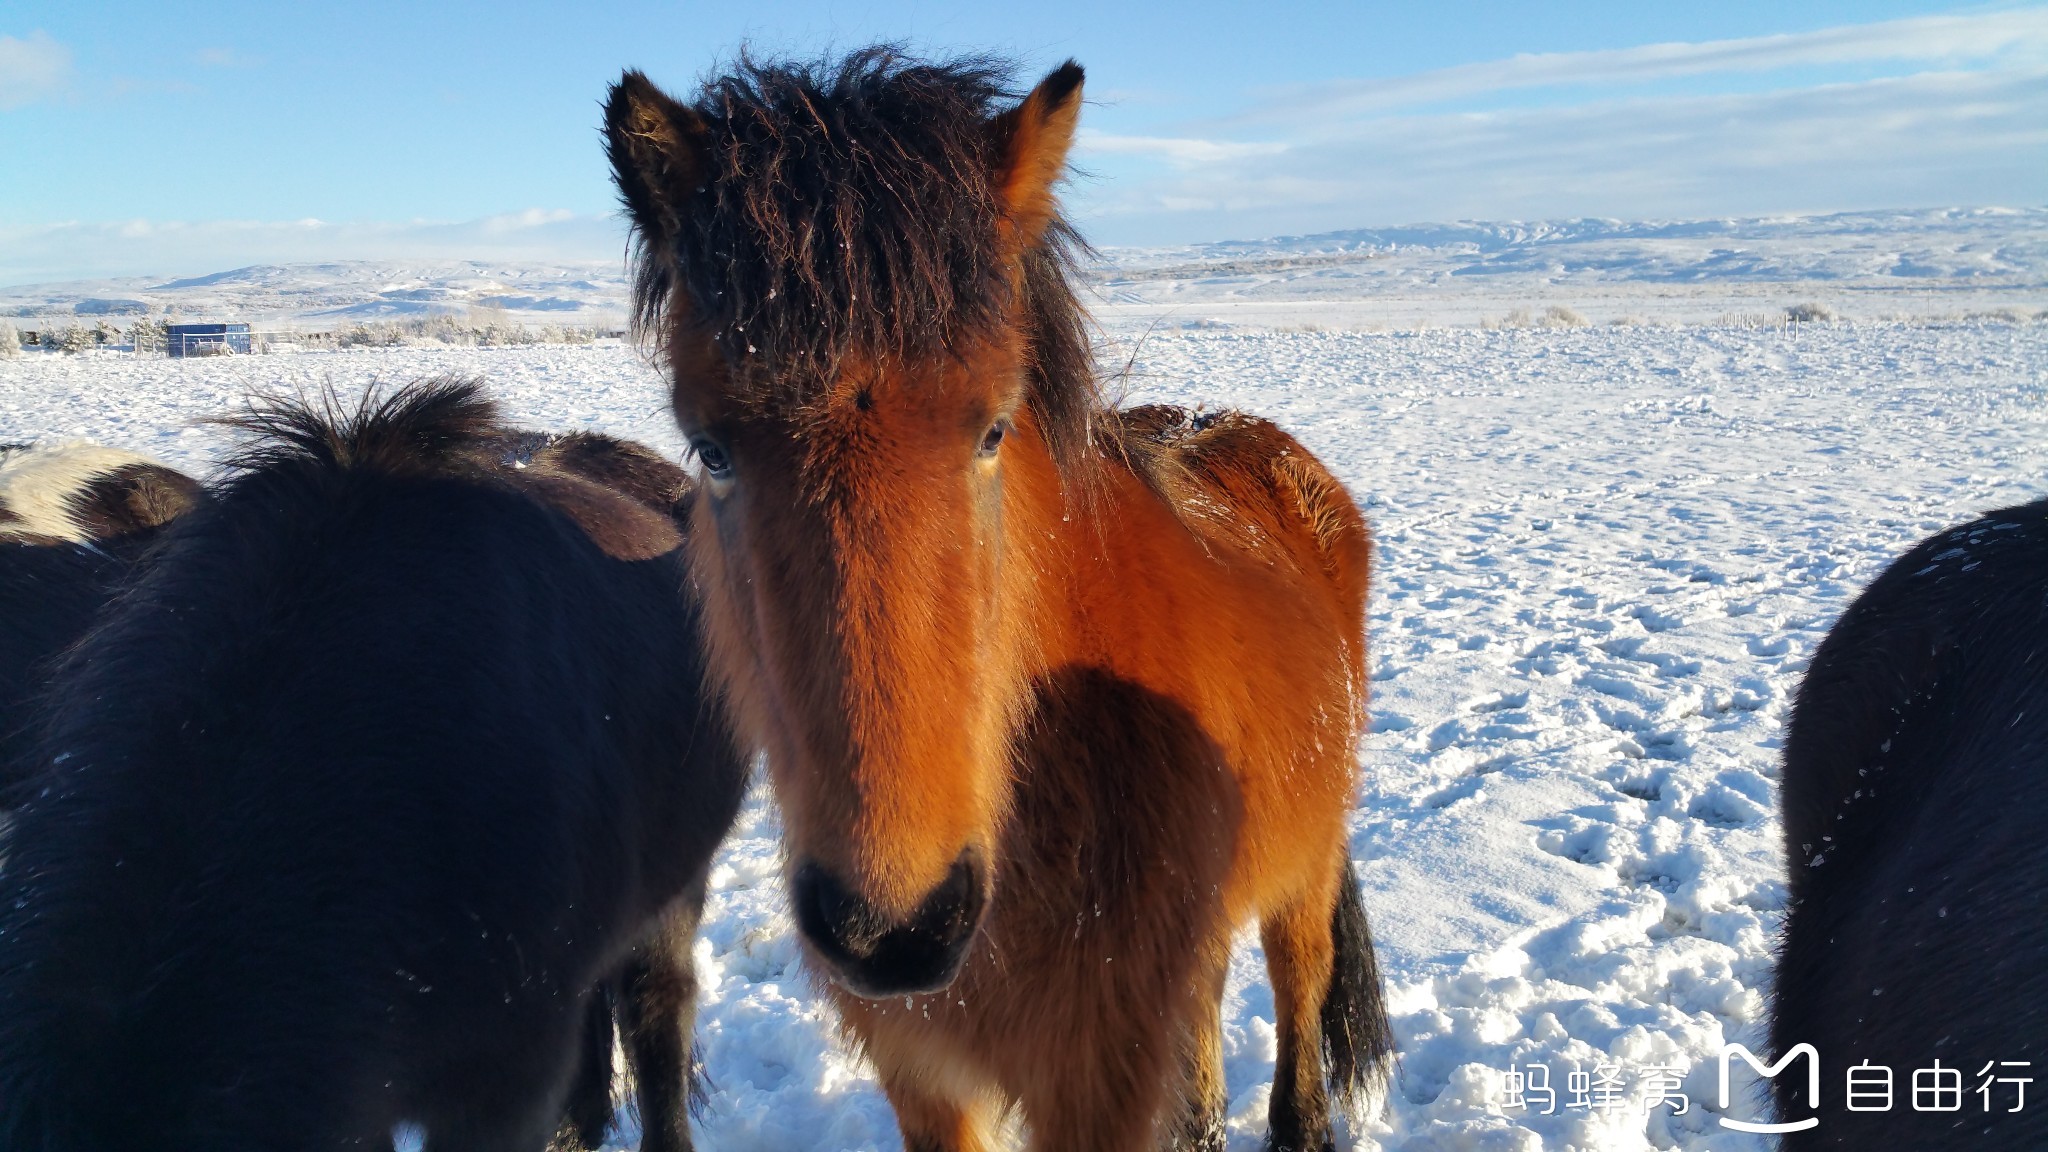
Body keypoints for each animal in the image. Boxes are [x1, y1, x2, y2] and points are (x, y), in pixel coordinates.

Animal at [602, 49, 1392, 1139]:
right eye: (710, 449)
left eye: (993, 429)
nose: (894, 932)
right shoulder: (925, 1076)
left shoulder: (1099, 1083)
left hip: (1302, 881)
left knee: (1298, 1018)